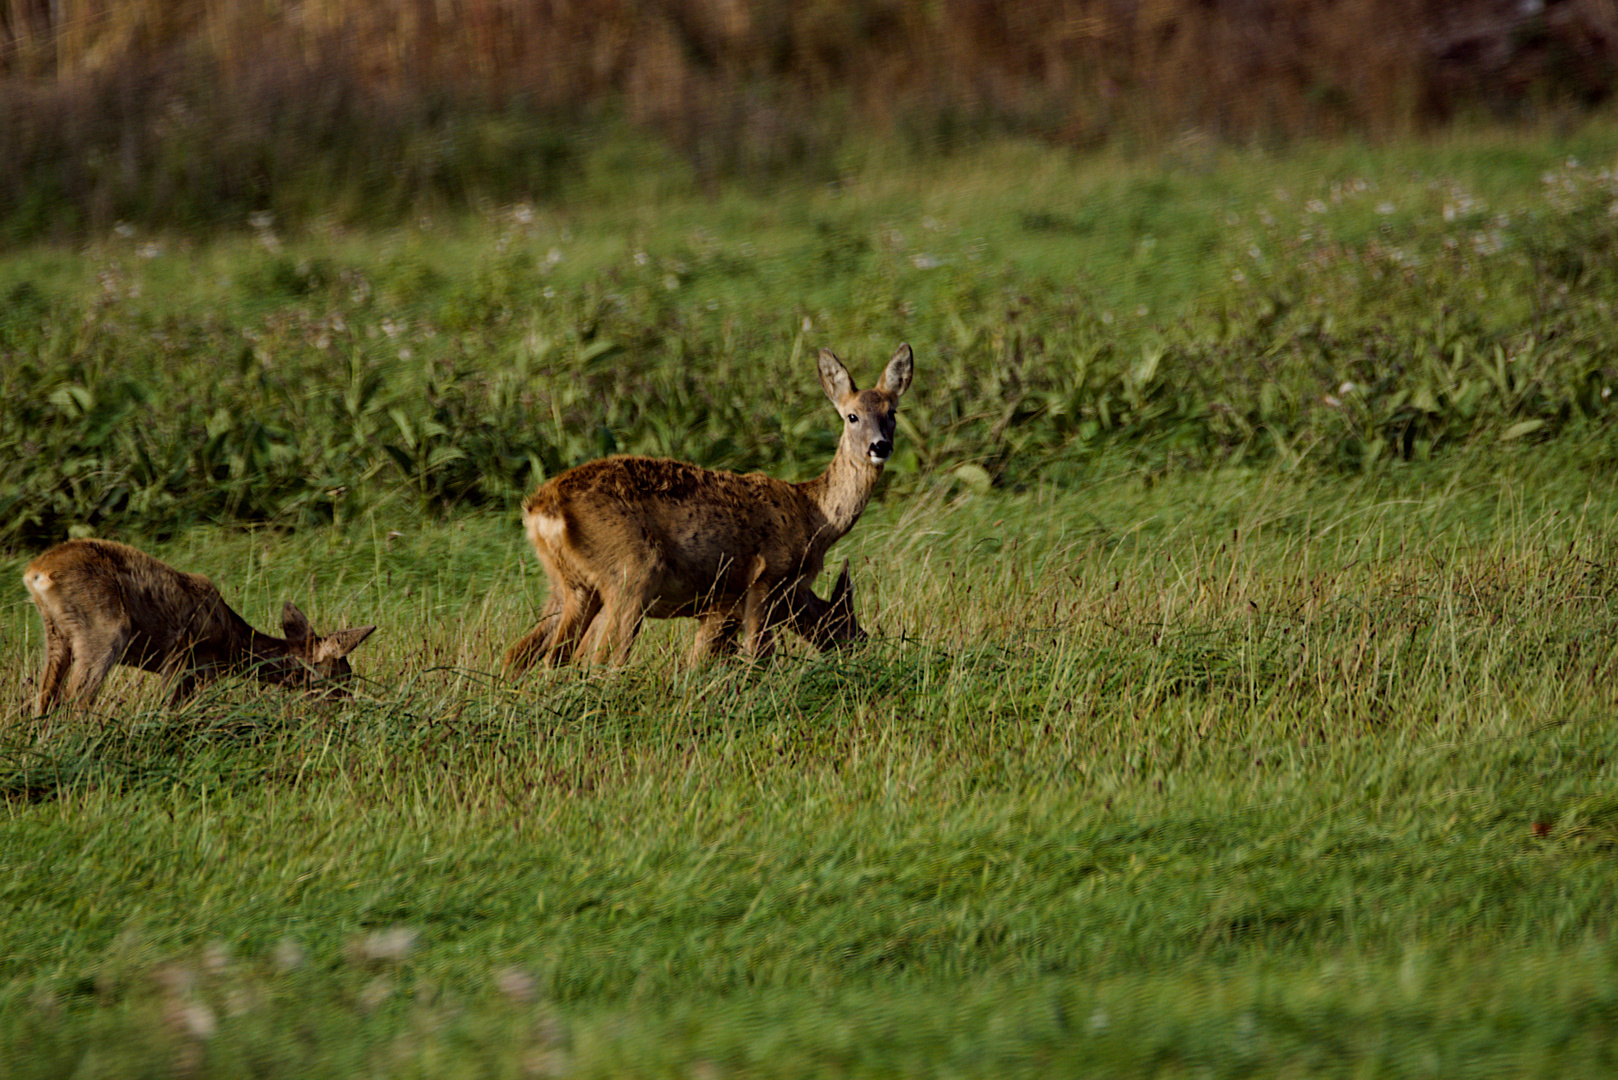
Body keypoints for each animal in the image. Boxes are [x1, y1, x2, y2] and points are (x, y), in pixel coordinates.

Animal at [22, 537, 378, 709]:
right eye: (342, 673)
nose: (347, 703)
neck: (232, 645)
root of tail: (36, 572)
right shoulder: (183, 660)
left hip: (57, 635)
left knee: (45, 698)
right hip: (105, 628)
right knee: (76, 701)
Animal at [504, 344, 912, 667]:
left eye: (892, 413)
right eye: (852, 416)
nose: (880, 446)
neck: (813, 517)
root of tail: (541, 509)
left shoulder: (721, 604)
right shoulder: (763, 582)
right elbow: (758, 656)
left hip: (567, 585)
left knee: (523, 653)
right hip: (631, 573)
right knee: (595, 657)